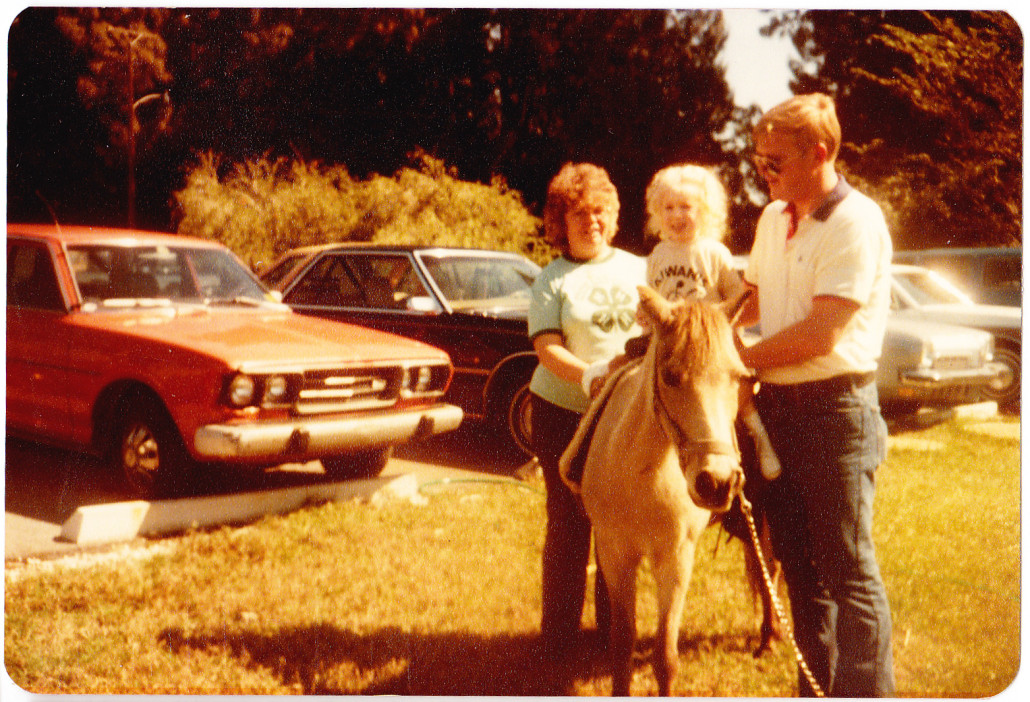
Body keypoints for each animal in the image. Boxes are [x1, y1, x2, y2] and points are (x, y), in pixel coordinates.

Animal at [556, 286, 749, 695]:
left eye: (739, 377)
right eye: (671, 376)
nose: (717, 482)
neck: (644, 476)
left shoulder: (676, 560)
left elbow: (665, 657)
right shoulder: (615, 555)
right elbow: (622, 643)